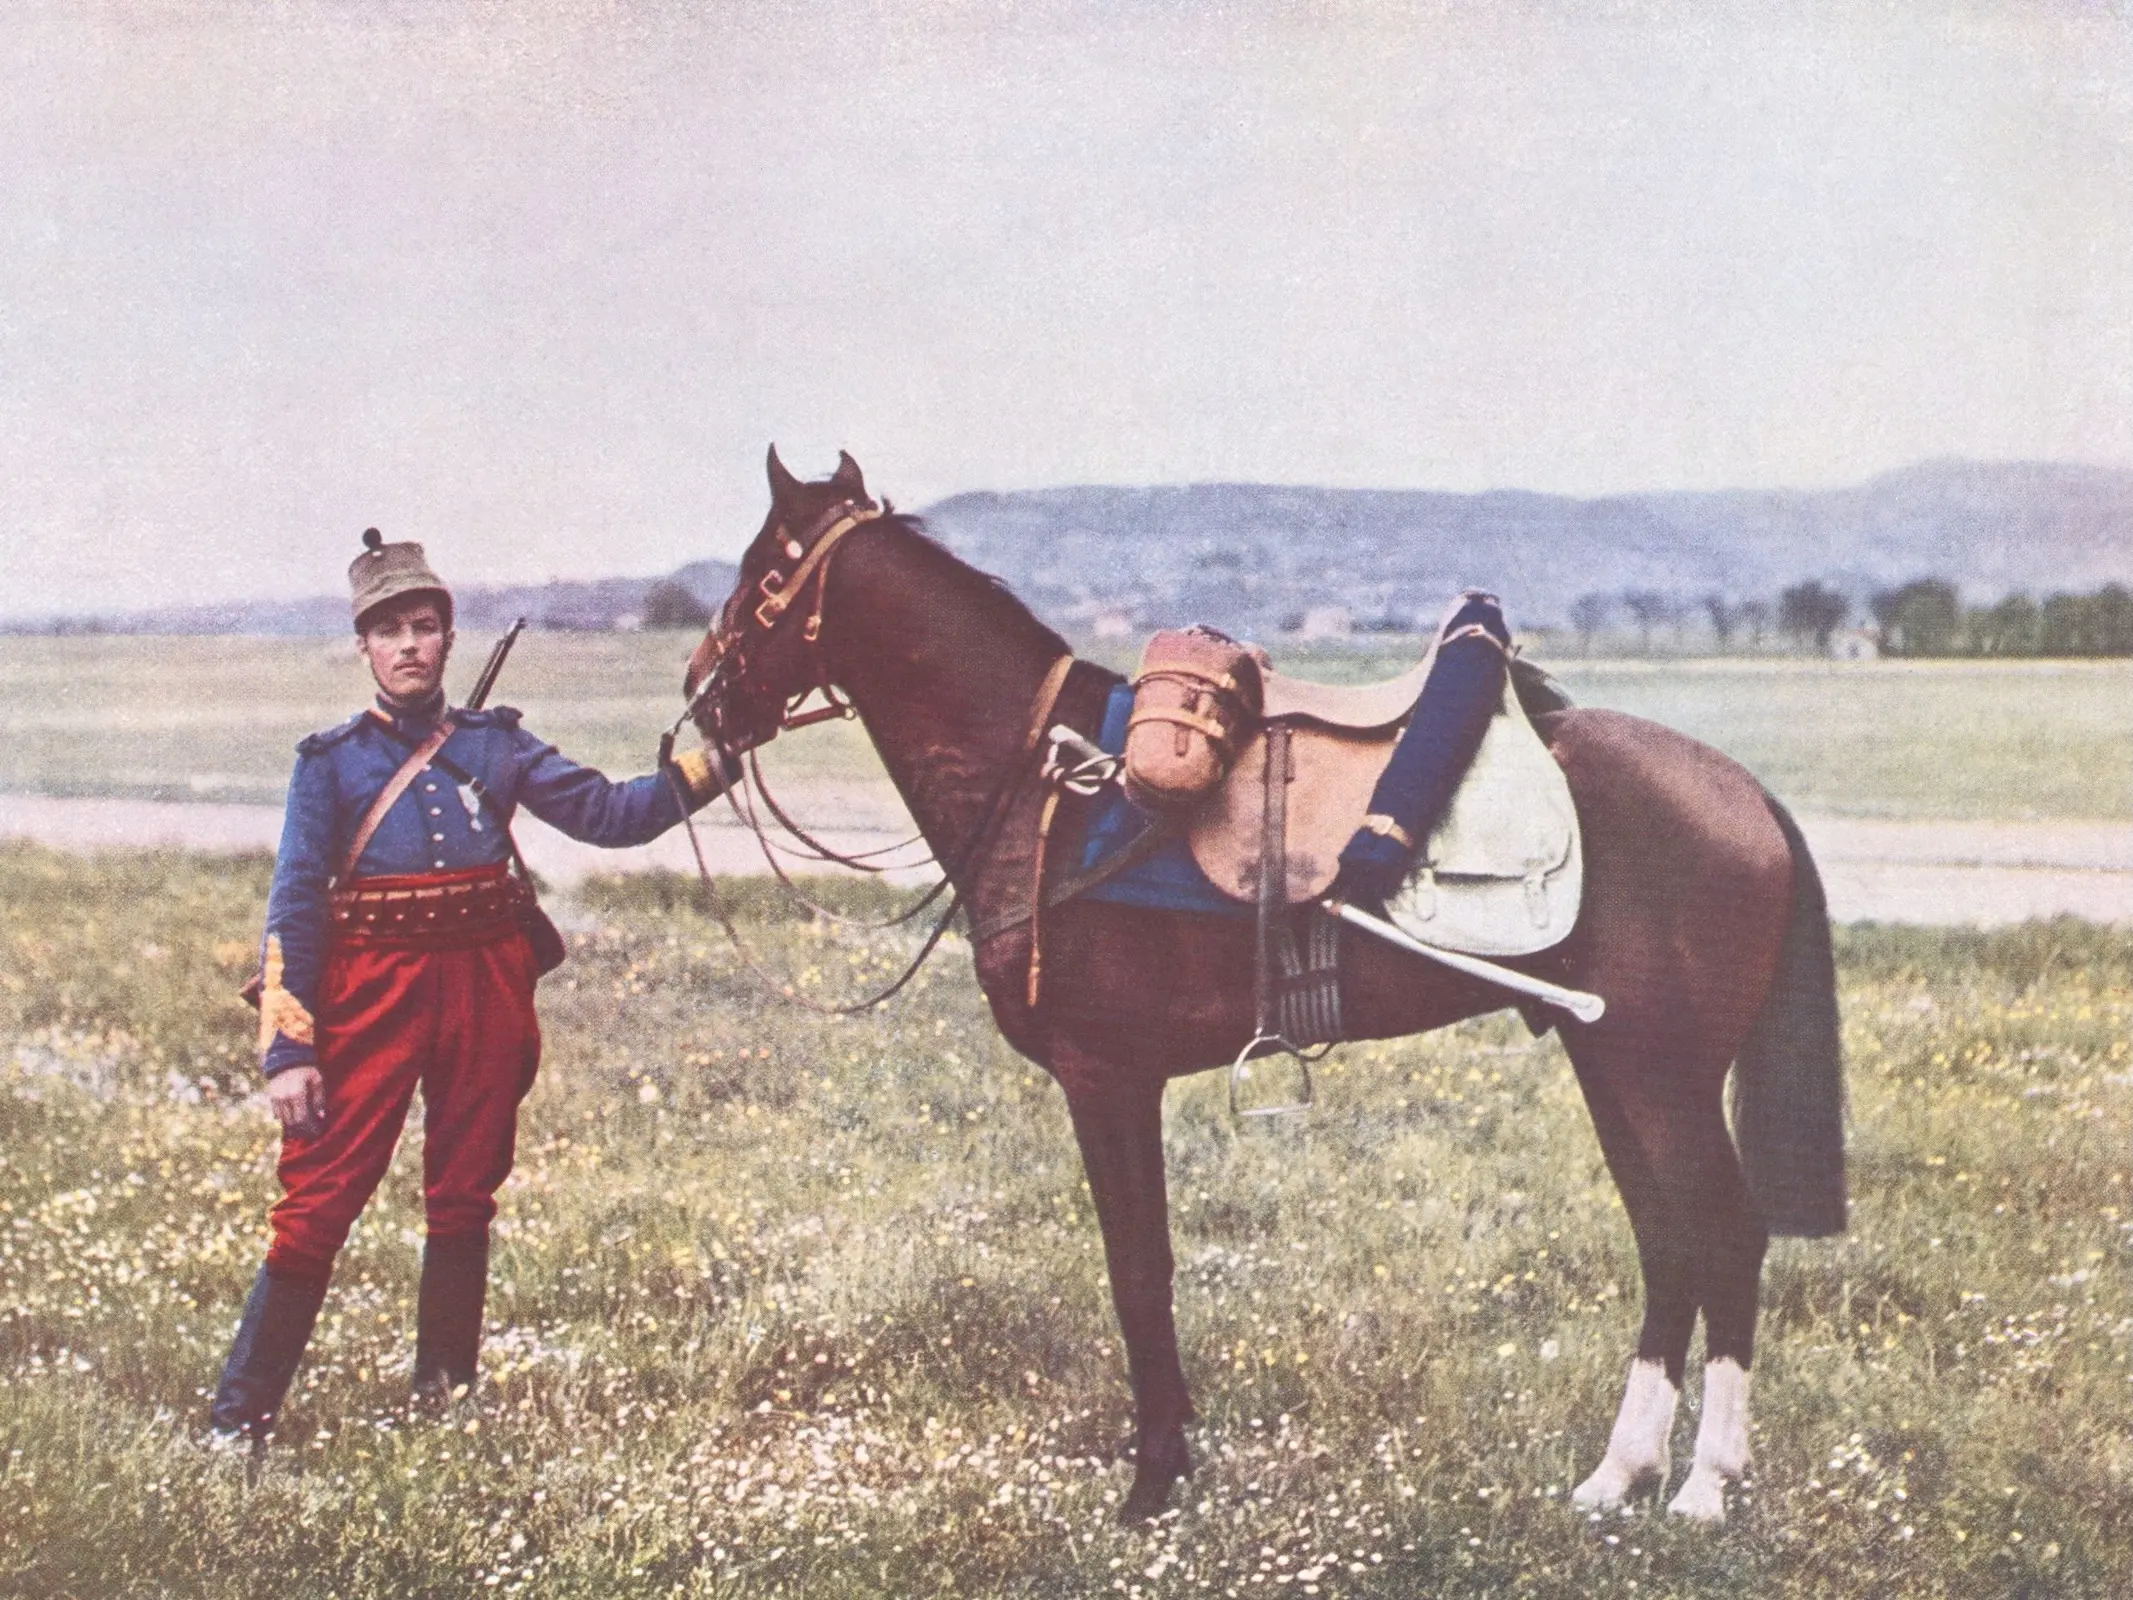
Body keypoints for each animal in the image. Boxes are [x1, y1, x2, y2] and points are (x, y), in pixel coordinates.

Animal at [680, 447, 1845, 1524]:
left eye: (764, 570)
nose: (703, 702)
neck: (1053, 788)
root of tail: (1747, 795)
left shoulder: (1106, 1079)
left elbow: (1138, 1271)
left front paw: (1154, 1479)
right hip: (1612, 1064)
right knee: (1668, 1240)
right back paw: (1620, 1473)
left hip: (1660, 1075)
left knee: (1725, 1233)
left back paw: (1703, 1485)